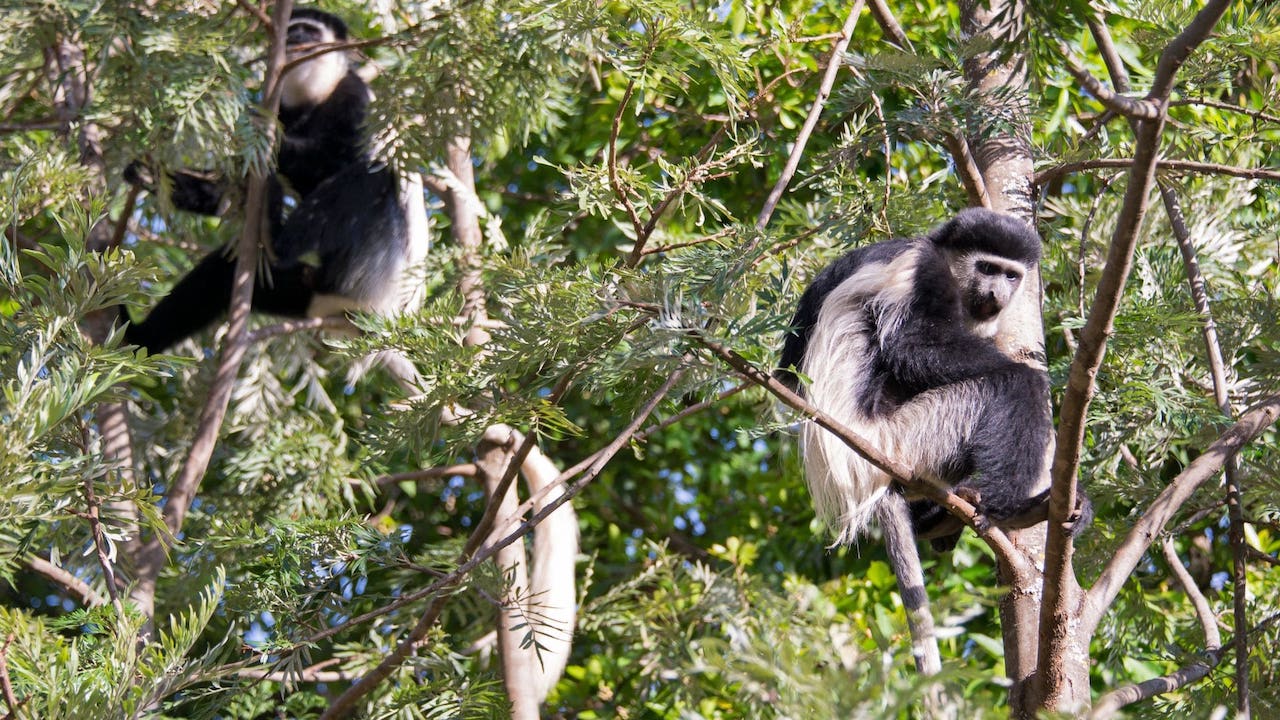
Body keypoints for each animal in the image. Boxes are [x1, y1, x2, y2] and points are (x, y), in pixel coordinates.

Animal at [122, 8, 428, 355]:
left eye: (310, 32)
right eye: (293, 30)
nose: (295, 39)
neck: (316, 97)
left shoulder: (354, 97)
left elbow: (339, 158)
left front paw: (261, 132)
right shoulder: (286, 110)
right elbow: (231, 195)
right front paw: (151, 174)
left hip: (368, 273)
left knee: (369, 176)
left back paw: (276, 238)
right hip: (300, 291)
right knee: (223, 274)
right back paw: (136, 338)